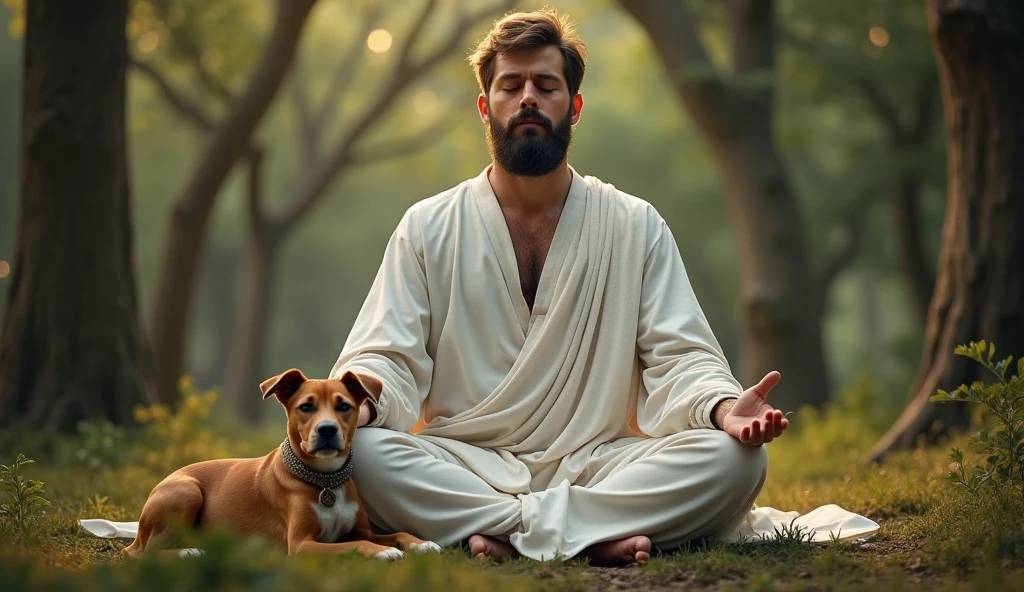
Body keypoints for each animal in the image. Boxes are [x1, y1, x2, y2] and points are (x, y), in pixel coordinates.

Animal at [120, 366, 440, 557]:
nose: (327, 430)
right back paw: (188, 552)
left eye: (344, 406)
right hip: (186, 493)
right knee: (138, 554)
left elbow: (395, 532)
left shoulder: (360, 528)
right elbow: (358, 544)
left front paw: (421, 542)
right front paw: (383, 552)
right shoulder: (302, 544)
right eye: (306, 407)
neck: (324, 481)